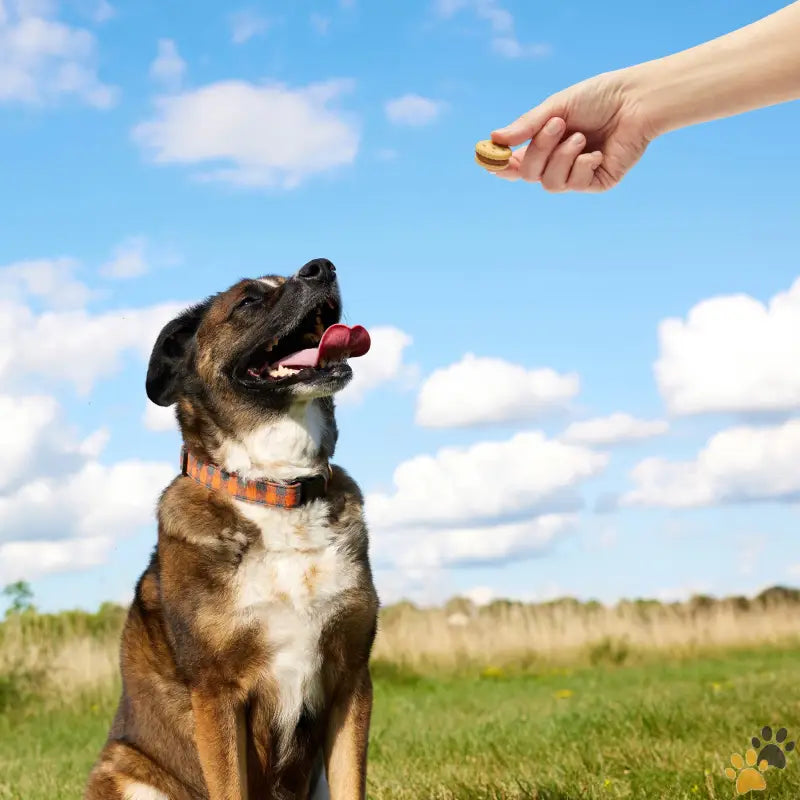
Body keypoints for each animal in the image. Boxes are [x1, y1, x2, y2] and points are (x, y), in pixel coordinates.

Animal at [86, 260, 380, 800]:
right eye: (248, 301)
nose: (322, 267)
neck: (275, 489)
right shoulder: (217, 694)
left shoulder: (350, 679)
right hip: (124, 770)